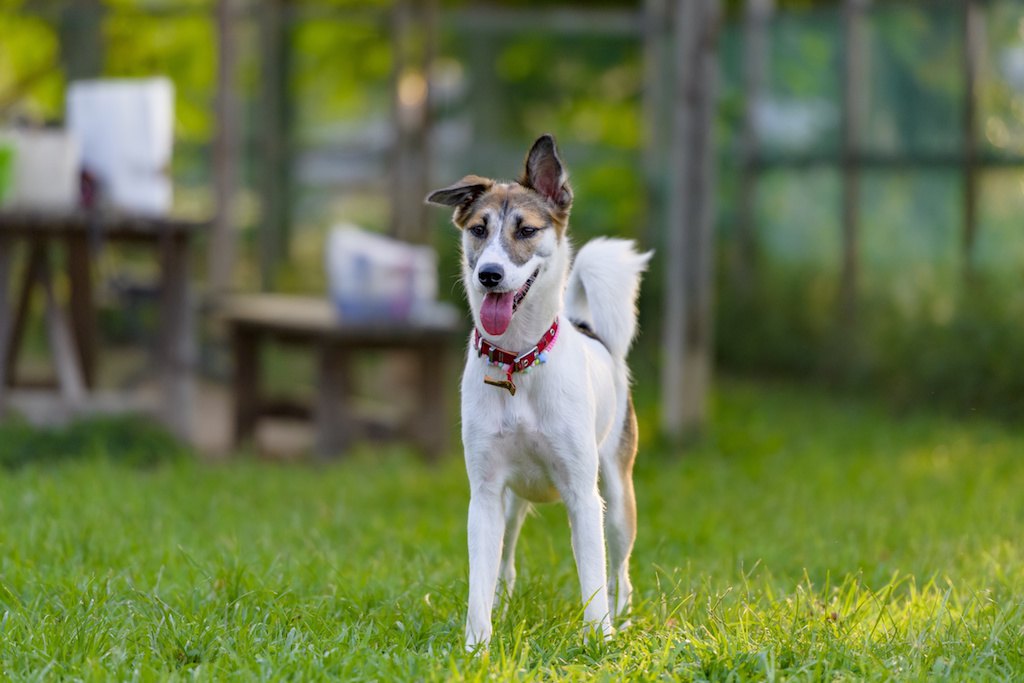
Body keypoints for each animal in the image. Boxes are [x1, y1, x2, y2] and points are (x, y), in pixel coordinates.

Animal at [428, 135, 651, 651]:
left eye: (526, 230)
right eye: (478, 230)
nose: (489, 274)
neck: (518, 362)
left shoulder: (583, 496)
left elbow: (593, 579)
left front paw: (599, 641)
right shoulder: (485, 494)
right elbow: (480, 578)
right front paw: (476, 646)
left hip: (617, 496)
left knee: (621, 571)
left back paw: (623, 617)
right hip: (511, 504)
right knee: (506, 562)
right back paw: (503, 604)